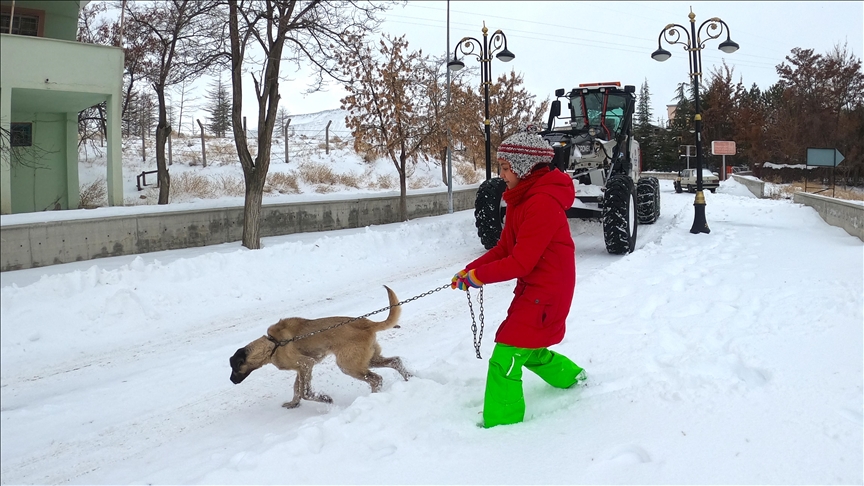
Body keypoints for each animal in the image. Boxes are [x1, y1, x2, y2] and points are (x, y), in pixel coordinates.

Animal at [226, 286, 408, 408]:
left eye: (235, 368)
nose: (231, 381)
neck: (273, 344)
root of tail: (368, 324)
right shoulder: (301, 369)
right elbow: (297, 389)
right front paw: (293, 403)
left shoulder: (306, 364)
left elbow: (305, 392)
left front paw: (324, 399)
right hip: (368, 359)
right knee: (395, 361)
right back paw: (409, 377)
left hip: (349, 365)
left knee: (376, 379)